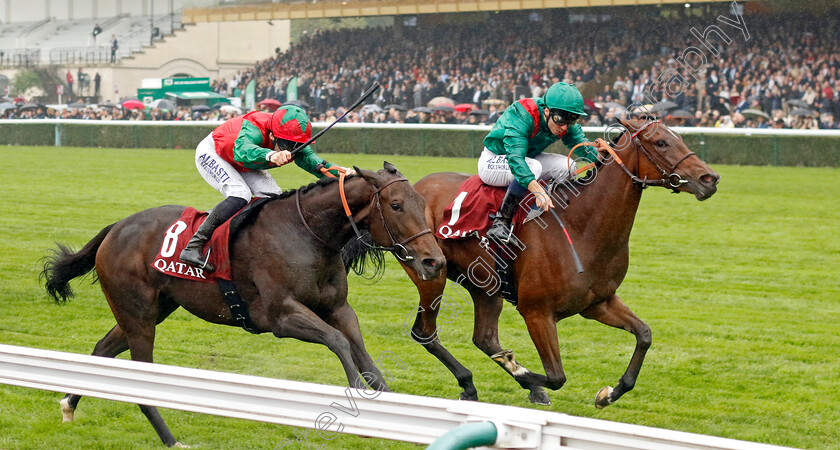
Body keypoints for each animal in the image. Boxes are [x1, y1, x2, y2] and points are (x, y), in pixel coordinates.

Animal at [41, 162, 446, 446]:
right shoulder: (280, 316)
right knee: (139, 381)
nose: (434, 261)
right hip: (137, 313)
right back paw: (172, 441)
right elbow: (338, 342)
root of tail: (116, 228)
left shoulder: (339, 309)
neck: (306, 234)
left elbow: (366, 360)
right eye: (396, 205)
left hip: (152, 310)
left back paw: (69, 406)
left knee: (102, 349)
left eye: (422, 203)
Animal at [398, 116, 720, 408]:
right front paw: (520, 370)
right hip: (432, 273)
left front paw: (608, 394)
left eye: (680, 137)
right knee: (425, 332)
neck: (581, 227)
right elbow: (556, 377)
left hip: (485, 287)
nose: (710, 179)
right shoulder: (537, 312)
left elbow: (644, 335)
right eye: (661, 142)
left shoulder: (598, 303)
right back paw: (469, 382)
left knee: (484, 338)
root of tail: (415, 185)